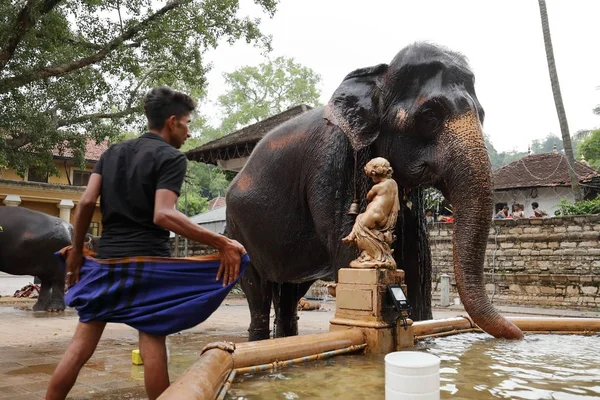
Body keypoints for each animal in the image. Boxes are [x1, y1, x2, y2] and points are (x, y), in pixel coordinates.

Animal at [227, 41, 524, 340]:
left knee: (289, 292)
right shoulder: (331, 163)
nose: (520, 333)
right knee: (257, 288)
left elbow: (418, 260)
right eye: (430, 117)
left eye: (482, 116)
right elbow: (349, 245)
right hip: (238, 230)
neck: (378, 76)